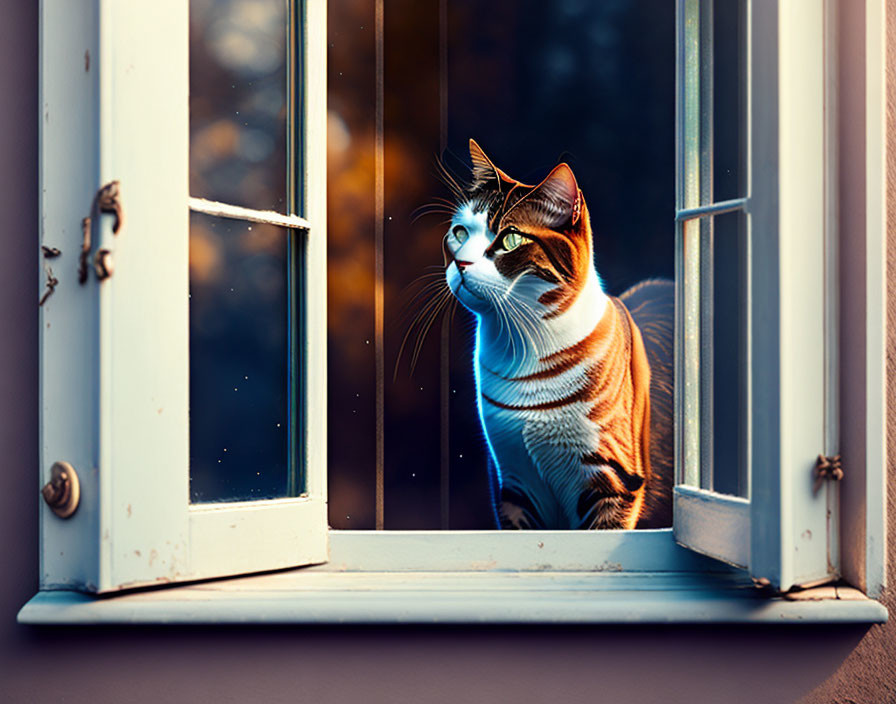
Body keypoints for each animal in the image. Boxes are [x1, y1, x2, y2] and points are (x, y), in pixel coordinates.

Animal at [444, 140, 668, 528]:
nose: (461, 263)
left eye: (510, 239)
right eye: (460, 233)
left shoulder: (614, 481)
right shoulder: (514, 484)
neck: (524, 351)